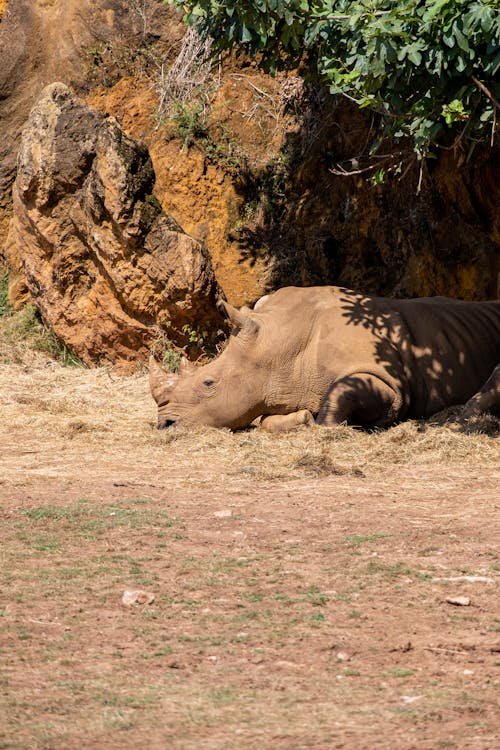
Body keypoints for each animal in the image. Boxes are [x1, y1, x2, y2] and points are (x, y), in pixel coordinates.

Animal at [148, 286, 500, 432]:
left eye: (208, 383)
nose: (164, 425)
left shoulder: (391, 382)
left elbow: (342, 391)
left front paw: (324, 426)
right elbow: (264, 420)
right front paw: (302, 419)